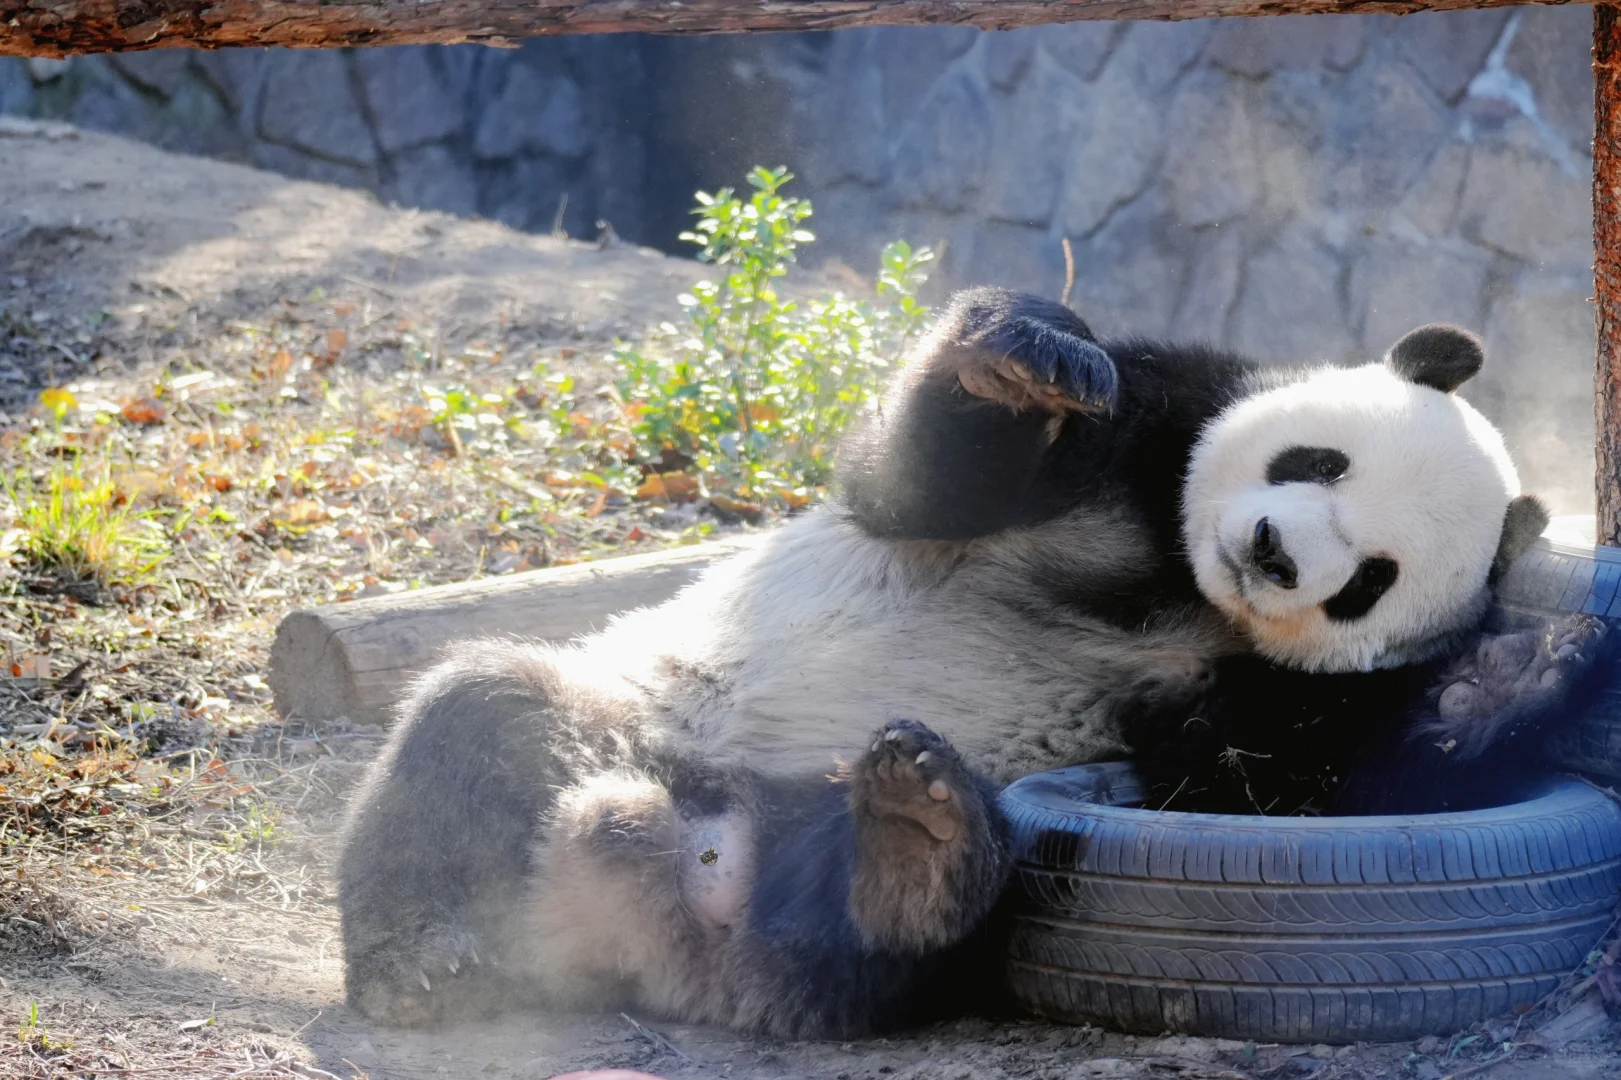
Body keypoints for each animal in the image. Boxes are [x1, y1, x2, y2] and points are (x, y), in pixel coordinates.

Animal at [332, 283, 1608, 1037]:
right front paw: (1026, 360)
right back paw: (419, 962)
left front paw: (1525, 670)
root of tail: (642, 923)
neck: (1183, 585)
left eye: (1368, 581)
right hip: (626, 716)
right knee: (475, 726)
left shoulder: (1258, 686)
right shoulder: (1162, 417)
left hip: (919, 872)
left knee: (884, 941)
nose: (1272, 555)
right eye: (1318, 462)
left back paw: (911, 845)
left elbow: (1252, 783)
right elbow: (910, 489)